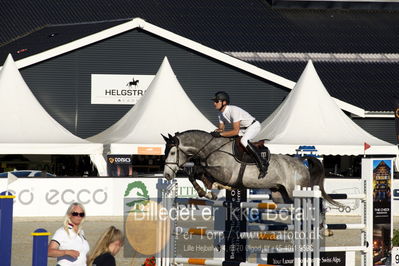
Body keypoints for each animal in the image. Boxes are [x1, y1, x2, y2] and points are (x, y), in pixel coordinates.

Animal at [164, 130, 342, 207]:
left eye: (172, 152)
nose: (166, 175)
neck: (212, 148)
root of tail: (300, 162)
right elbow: (196, 174)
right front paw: (206, 192)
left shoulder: (225, 173)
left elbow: (200, 170)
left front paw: (209, 190)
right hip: (280, 195)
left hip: (296, 191)